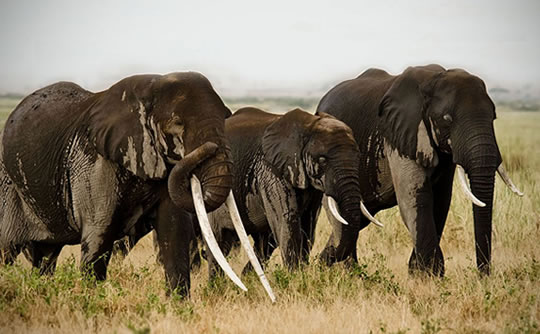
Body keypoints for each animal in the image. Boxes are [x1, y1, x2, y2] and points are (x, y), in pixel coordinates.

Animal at [0, 72, 270, 298]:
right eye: (177, 123)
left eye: (226, 116)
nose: (211, 147)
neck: (153, 86)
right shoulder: (94, 163)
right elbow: (99, 237)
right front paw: (91, 301)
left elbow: (174, 233)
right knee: (7, 251)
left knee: (46, 256)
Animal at [316, 64, 524, 276]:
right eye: (447, 119)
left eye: (494, 117)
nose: (483, 276)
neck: (433, 80)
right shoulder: (400, 135)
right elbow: (415, 197)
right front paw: (428, 276)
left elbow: (441, 200)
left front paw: (422, 274)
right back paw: (345, 272)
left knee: (358, 219)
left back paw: (329, 266)